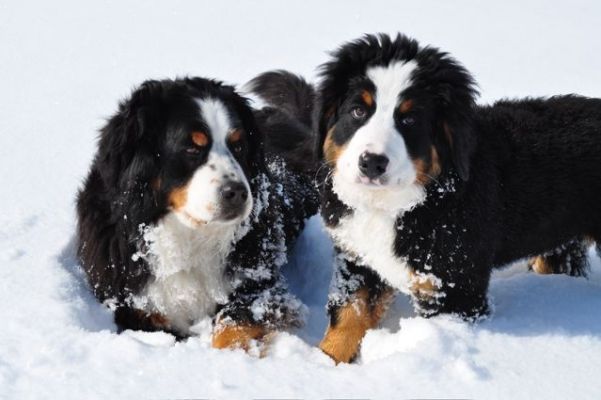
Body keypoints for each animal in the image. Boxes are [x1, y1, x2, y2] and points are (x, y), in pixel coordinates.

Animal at [77, 76, 318, 350]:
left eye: (238, 145)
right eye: (192, 148)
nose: (237, 192)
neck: (190, 235)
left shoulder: (260, 287)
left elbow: (233, 324)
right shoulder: (134, 302)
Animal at [258, 33, 600, 362]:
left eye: (409, 120)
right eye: (358, 111)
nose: (372, 162)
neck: (397, 206)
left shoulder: (454, 287)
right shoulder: (359, 260)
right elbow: (347, 317)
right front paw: (323, 365)